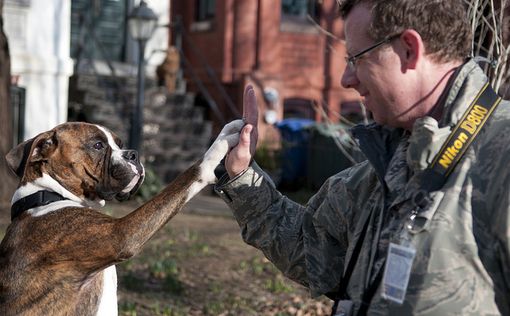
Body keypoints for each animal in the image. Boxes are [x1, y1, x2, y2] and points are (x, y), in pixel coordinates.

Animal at [0, 119, 243, 314]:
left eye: (121, 144)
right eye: (98, 145)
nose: (134, 154)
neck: (46, 195)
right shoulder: (121, 235)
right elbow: (185, 180)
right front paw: (218, 148)